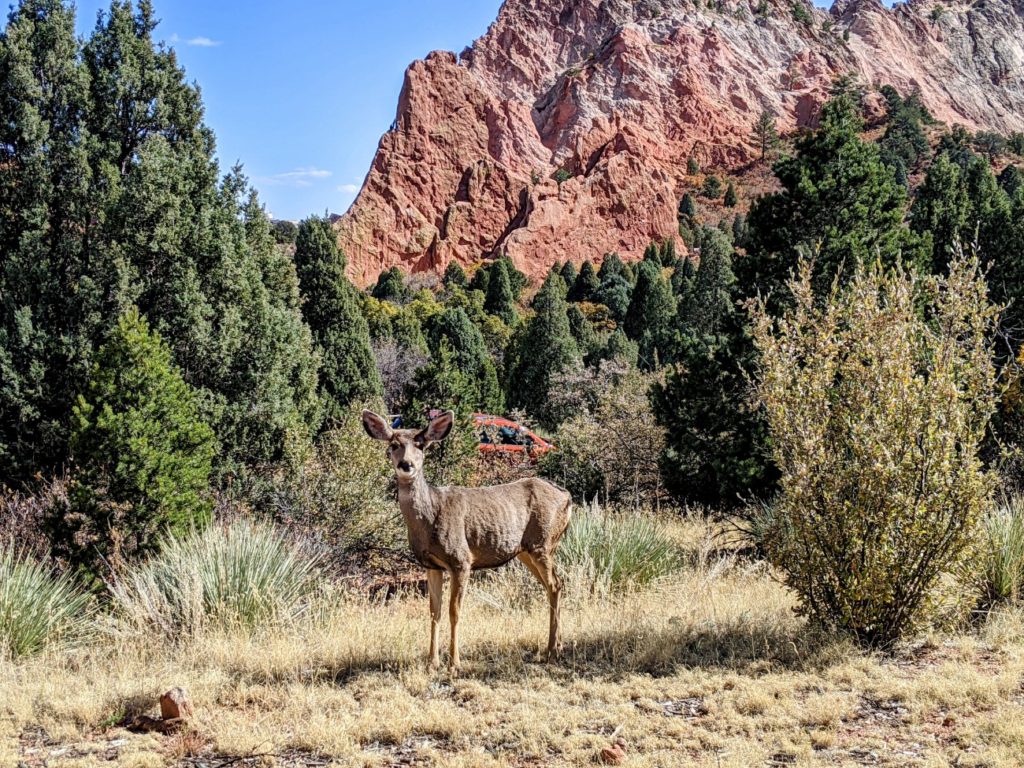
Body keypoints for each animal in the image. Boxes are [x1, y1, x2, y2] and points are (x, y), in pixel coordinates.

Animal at [360, 411, 573, 671]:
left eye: (421, 445)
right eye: (394, 445)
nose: (406, 465)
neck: (430, 517)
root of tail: (567, 495)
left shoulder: (461, 560)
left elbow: (455, 610)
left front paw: (454, 662)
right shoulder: (431, 565)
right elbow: (434, 611)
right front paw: (432, 662)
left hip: (543, 542)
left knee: (554, 584)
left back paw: (551, 650)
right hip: (526, 550)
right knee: (554, 584)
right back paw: (557, 646)